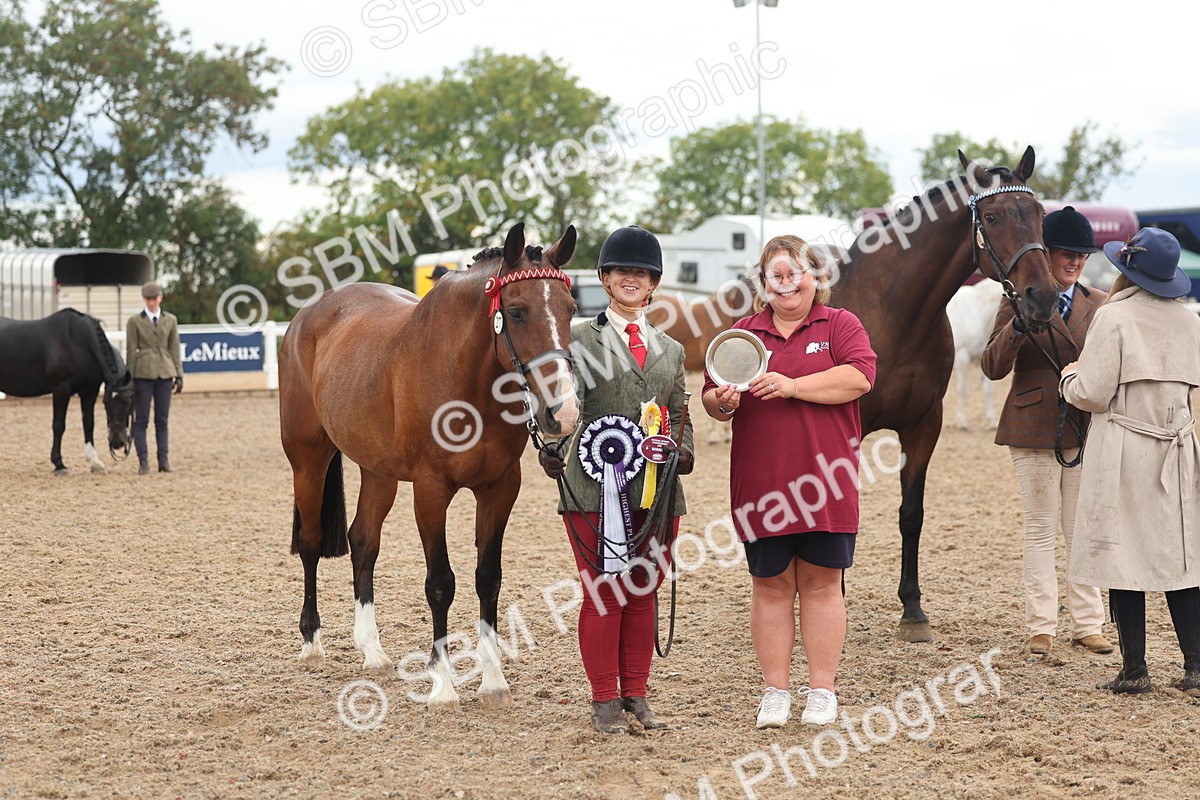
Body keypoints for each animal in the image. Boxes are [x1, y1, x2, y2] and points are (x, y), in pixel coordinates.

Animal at [0, 309, 134, 474]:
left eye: (128, 402)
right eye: (106, 403)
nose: (117, 442)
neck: (79, 343)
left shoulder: (89, 390)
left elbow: (88, 423)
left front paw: (95, 463)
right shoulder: (61, 389)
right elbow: (59, 426)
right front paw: (59, 464)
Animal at [279, 223, 580, 709]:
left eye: (571, 310)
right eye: (516, 312)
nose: (564, 413)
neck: (465, 378)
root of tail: (306, 317)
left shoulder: (500, 488)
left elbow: (488, 579)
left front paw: (492, 679)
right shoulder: (431, 490)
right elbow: (441, 583)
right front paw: (442, 684)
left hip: (378, 472)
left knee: (363, 542)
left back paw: (372, 650)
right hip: (308, 459)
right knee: (309, 542)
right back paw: (311, 642)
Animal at [946, 279, 1004, 430]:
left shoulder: (985, 359)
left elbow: (988, 391)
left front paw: (992, 421)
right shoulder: (962, 357)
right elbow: (962, 389)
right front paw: (961, 422)